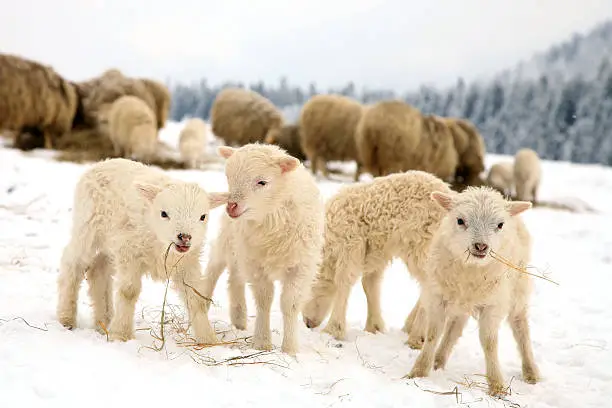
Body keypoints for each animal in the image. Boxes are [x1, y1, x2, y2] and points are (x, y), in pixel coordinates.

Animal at [56, 158, 228, 342]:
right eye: (164, 213)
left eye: (203, 217)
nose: (185, 237)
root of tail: (102, 162)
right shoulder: (129, 251)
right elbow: (128, 292)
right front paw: (121, 335)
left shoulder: (187, 263)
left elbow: (196, 298)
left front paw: (208, 339)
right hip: (88, 227)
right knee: (72, 263)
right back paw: (66, 318)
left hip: (111, 242)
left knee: (98, 271)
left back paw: (104, 322)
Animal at [201, 143, 326, 354]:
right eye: (228, 177)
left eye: (262, 182)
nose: (232, 206)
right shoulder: (256, 265)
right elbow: (264, 300)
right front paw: (262, 342)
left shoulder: (301, 266)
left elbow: (290, 304)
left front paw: (290, 348)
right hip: (228, 240)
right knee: (214, 268)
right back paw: (202, 301)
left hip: (240, 248)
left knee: (235, 278)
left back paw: (239, 317)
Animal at [298, 170, 452, 348]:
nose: (307, 323)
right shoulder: (375, 252)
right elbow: (370, 285)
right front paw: (374, 326)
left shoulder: (350, 244)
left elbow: (343, 282)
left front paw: (333, 330)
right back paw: (410, 326)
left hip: (422, 246)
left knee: (429, 284)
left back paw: (416, 336)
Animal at [406, 187, 540, 396]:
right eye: (460, 220)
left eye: (500, 225)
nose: (481, 246)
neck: (471, 269)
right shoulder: (437, 297)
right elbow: (433, 334)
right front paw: (419, 371)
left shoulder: (493, 304)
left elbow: (489, 343)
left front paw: (497, 385)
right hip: (460, 301)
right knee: (454, 329)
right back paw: (438, 361)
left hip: (518, 288)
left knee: (521, 327)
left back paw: (530, 371)